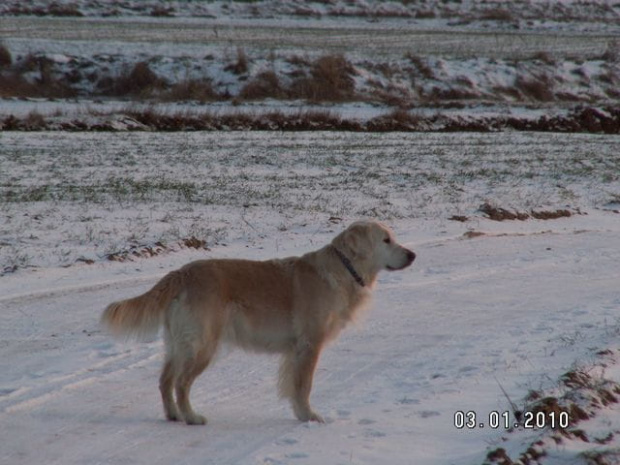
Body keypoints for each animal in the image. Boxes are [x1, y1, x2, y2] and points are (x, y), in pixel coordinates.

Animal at [99, 221, 414, 424]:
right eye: (386, 240)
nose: (412, 255)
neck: (343, 269)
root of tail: (181, 272)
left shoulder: (294, 351)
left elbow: (294, 386)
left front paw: (300, 413)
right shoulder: (309, 345)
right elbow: (304, 385)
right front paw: (308, 416)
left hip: (178, 343)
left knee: (165, 381)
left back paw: (174, 415)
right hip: (203, 345)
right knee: (181, 383)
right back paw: (191, 416)